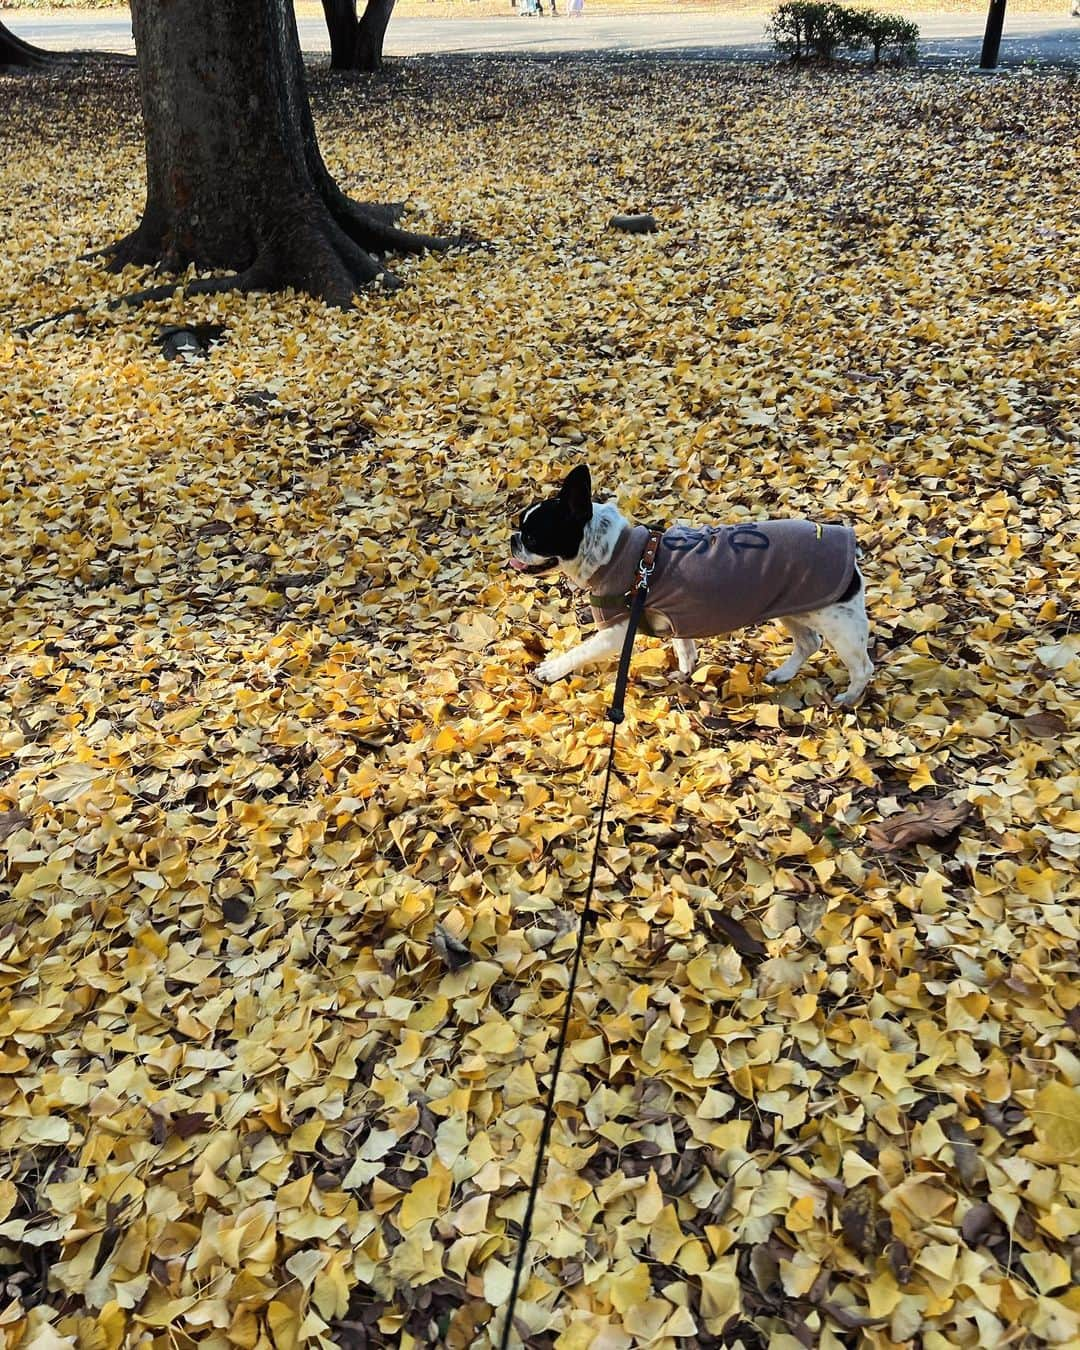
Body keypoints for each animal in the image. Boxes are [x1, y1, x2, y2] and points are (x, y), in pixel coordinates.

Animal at [510, 464, 874, 707]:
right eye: (520, 529)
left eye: (533, 536)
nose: (513, 540)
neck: (616, 551)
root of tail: (849, 544)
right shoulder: (673, 617)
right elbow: (684, 647)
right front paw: (685, 673)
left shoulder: (616, 630)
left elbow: (580, 650)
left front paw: (551, 670)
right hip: (794, 609)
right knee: (808, 643)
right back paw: (783, 675)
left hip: (840, 626)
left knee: (862, 666)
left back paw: (849, 698)